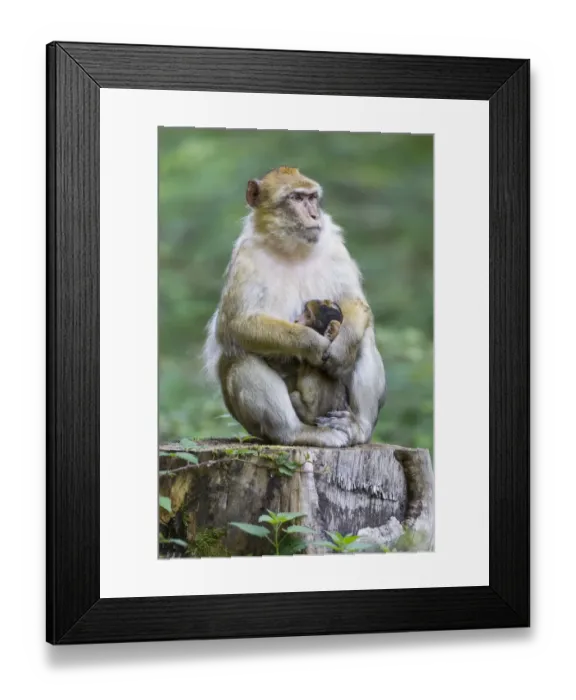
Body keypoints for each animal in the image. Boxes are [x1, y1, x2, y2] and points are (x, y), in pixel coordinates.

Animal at [203, 166, 387, 448]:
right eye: (297, 198)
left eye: (312, 198)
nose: (313, 214)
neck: (291, 249)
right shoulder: (245, 257)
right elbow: (234, 326)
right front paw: (312, 343)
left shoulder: (334, 244)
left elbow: (354, 301)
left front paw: (341, 348)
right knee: (239, 355)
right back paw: (294, 432)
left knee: (364, 337)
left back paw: (359, 428)